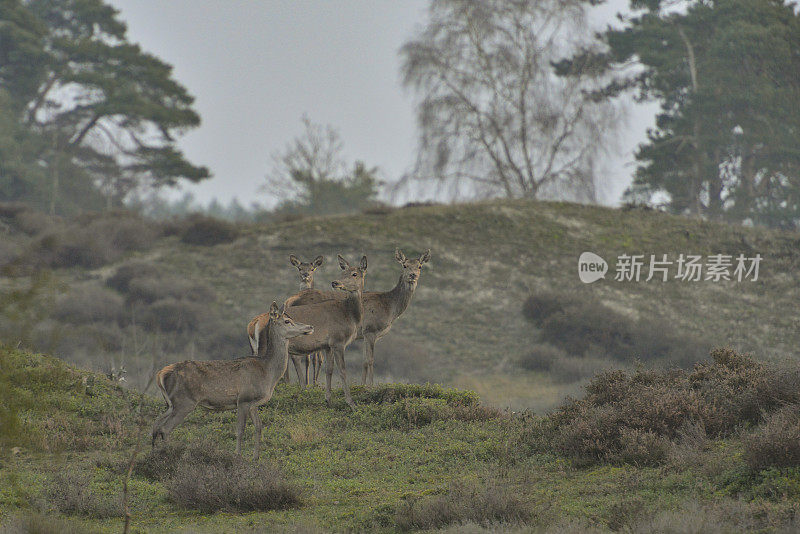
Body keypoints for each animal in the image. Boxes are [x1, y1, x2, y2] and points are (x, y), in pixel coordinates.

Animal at [150, 304, 312, 462]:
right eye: (287, 321)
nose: (309, 326)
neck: (268, 373)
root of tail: (161, 374)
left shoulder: (253, 403)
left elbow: (258, 427)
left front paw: (255, 458)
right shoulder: (244, 399)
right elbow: (240, 429)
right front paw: (238, 456)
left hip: (171, 403)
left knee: (156, 425)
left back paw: (154, 454)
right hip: (185, 402)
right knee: (165, 428)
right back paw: (169, 454)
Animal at [248, 254, 326, 386]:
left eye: (312, 268)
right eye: (299, 268)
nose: (305, 275)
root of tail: (254, 324)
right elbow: (313, 358)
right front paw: (312, 383)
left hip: (253, 345)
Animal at [270, 255, 368, 410]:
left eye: (354, 274)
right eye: (342, 272)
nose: (335, 282)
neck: (351, 316)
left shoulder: (328, 345)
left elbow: (329, 369)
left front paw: (328, 400)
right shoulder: (338, 341)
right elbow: (342, 370)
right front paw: (351, 403)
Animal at [288, 249, 432, 388]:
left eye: (419, 266)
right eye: (404, 265)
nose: (413, 275)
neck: (391, 308)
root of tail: (289, 301)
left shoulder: (363, 335)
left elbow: (364, 361)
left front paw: (362, 385)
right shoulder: (371, 330)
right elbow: (370, 360)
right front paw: (371, 386)